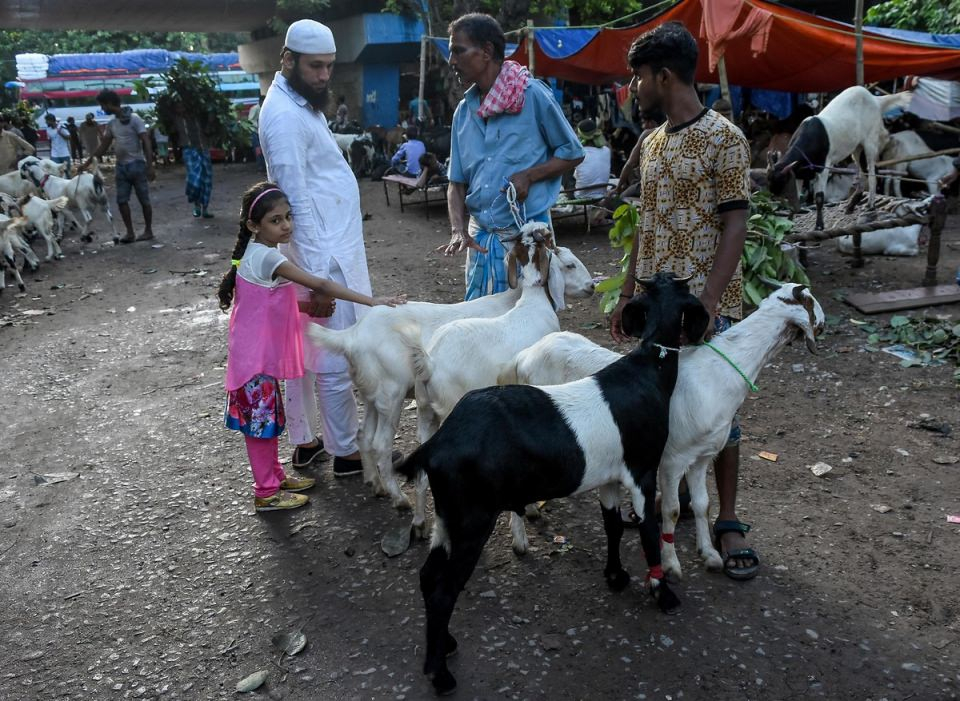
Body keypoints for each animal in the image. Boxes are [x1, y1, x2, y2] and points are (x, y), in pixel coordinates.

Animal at [396, 274, 704, 696]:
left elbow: (612, 525)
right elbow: (647, 531)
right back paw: (440, 675)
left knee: (428, 578)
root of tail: (436, 445)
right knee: (444, 590)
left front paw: (616, 576)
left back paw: (445, 646)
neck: (646, 374)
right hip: (472, 519)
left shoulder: (609, 476)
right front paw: (663, 593)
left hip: (448, 517)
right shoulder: (642, 471)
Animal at [768, 84, 912, 227]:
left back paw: (871, 205)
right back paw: (851, 205)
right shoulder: (799, 173)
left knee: (872, 172)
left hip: (870, 140)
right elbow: (797, 197)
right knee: (862, 171)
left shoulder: (823, 167)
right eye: (770, 180)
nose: (773, 197)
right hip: (856, 147)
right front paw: (789, 221)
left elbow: (819, 197)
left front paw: (819, 225)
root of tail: (875, 100)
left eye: (781, 182)